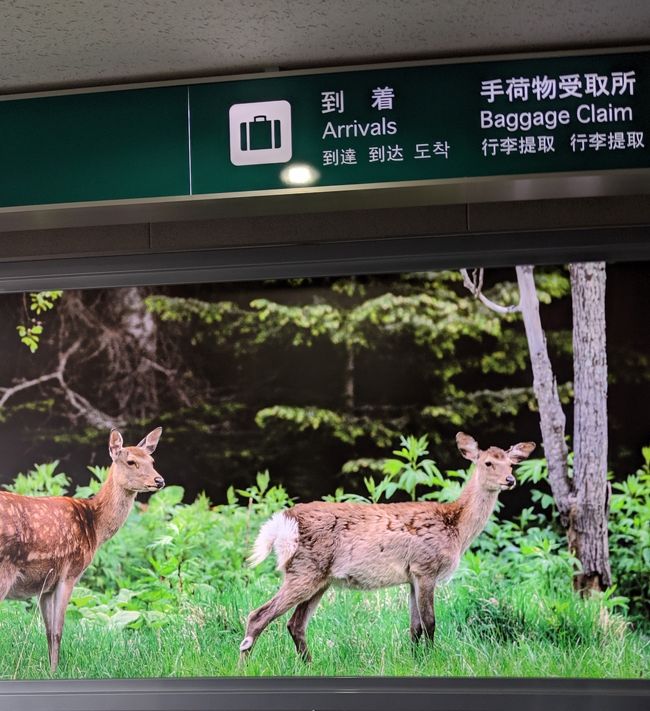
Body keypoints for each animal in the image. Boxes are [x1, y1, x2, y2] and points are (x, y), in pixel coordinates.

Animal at [0, 428, 165, 672]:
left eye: (152, 461)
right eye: (131, 461)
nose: (159, 480)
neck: (94, 525)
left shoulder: (45, 584)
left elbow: (48, 632)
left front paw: (50, 668)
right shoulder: (70, 572)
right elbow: (58, 631)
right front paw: (55, 671)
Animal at [240, 434, 536, 660]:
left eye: (512, 464)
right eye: (488, 463)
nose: (510, 480)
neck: (457, 529)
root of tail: (283, 523)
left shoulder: (412, 576)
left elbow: (415, 627)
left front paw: (417, 660)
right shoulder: (425, 567)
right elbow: (430, 622)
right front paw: (433, 659)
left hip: (319, 578)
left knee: (295, 624)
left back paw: (308, 664)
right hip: (304, 571)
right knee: (258, 615)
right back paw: (245, 665)